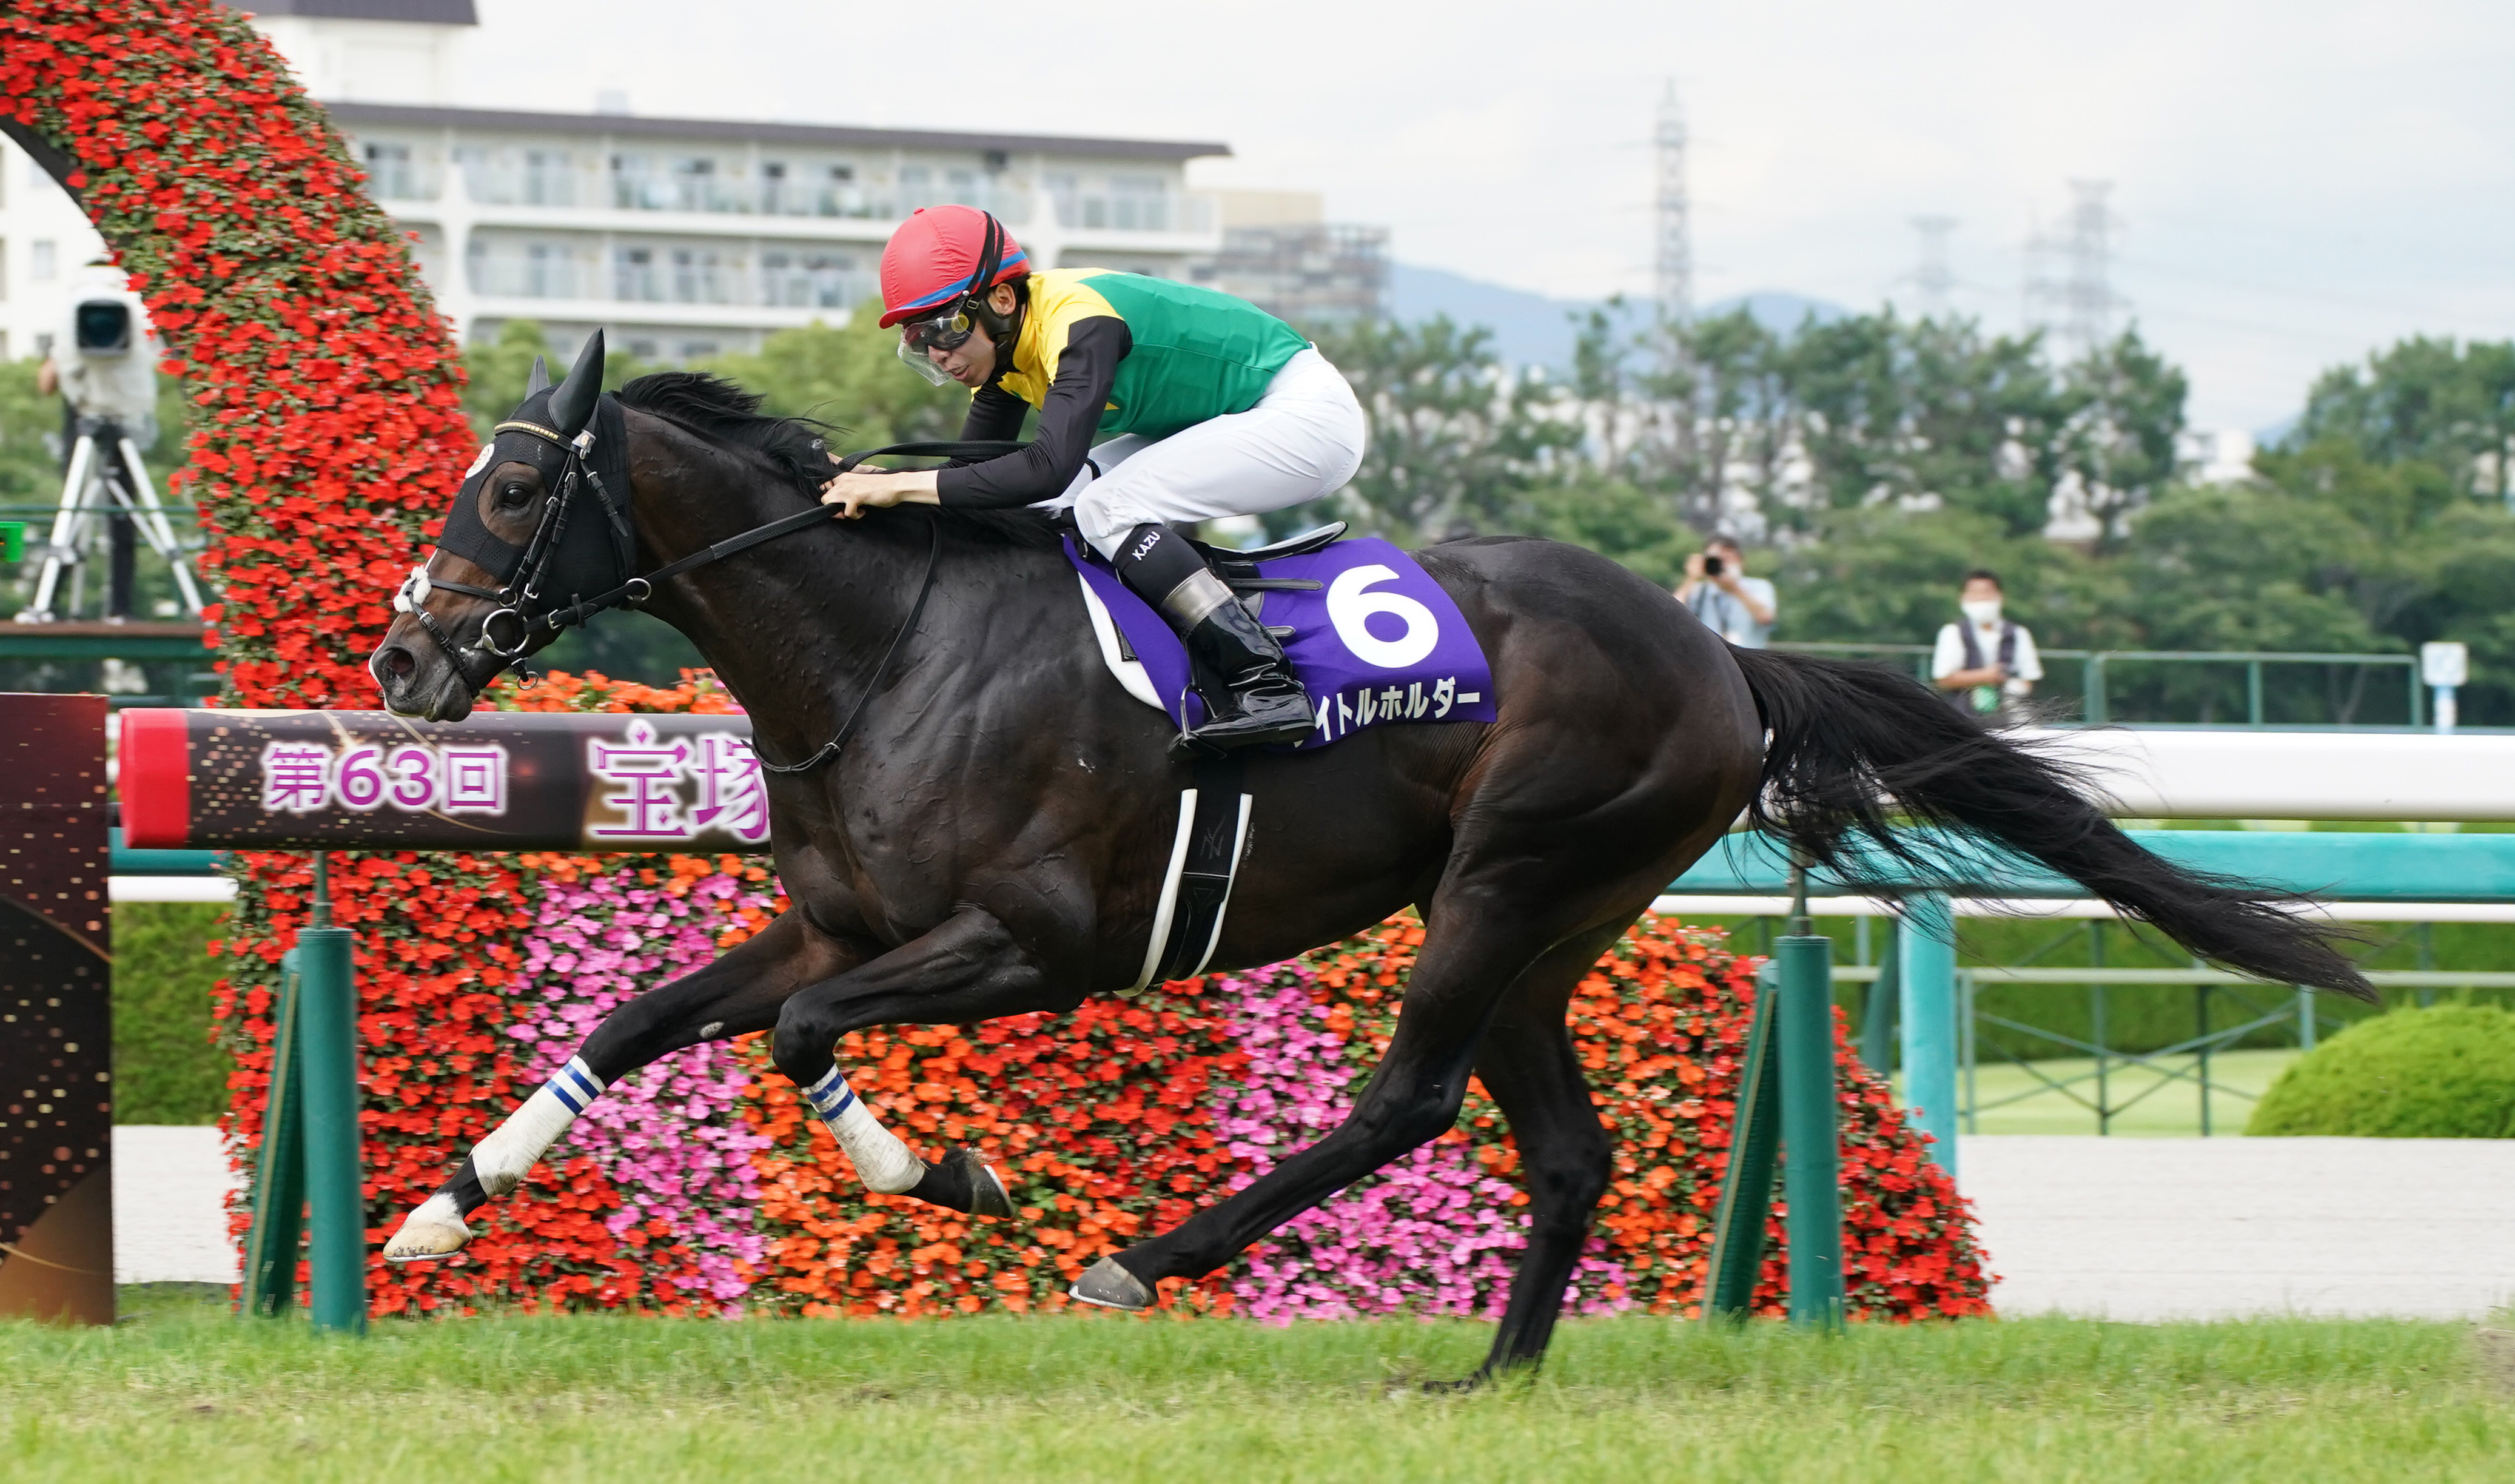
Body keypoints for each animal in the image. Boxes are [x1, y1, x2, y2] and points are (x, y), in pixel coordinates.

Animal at [369, 334, 2370, 1384]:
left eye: (518, 489)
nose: (402, 664)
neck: (886, 649)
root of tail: (1720, 655)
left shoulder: (1034, 938)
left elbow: (796, 1046)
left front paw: (951, 1172)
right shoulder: (830, 920)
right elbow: (639, 1023)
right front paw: (436, 1207)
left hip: (1506, 874)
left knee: (1407, 1096)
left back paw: (1151, 1256)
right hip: (1548, 921)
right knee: (1561, 1145)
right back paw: (1492, 1371)